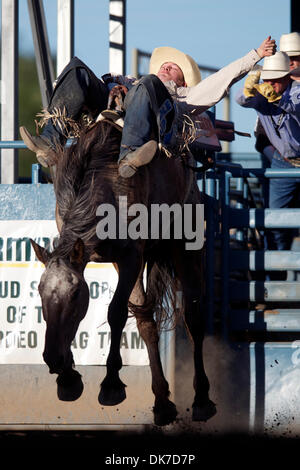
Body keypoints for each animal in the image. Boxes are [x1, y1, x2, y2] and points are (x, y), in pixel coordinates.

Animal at [31, 120, 216, 426]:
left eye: (75, 294)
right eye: (40, 292)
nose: (52, 359)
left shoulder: (131, 257)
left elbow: (115, 312)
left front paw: (111, 385)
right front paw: (68, 380)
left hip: (186, 249)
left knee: (194, 319)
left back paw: (202, 400)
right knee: (146, 320)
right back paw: (162, 403)